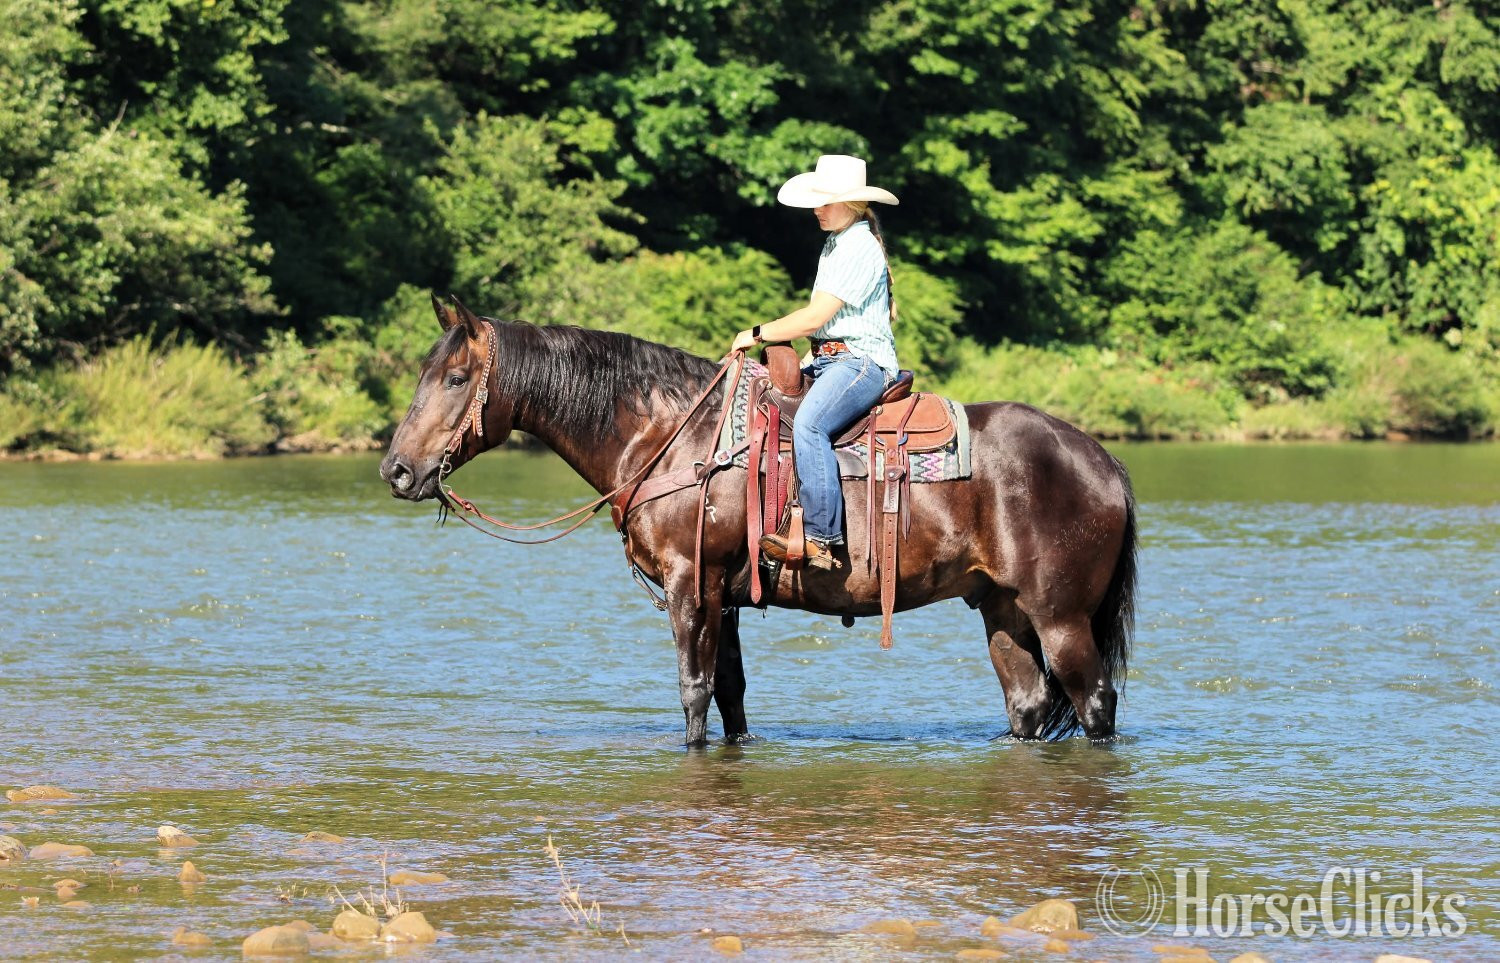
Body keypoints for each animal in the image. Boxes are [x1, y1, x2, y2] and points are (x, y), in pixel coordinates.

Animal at [379, 296, 1137, 746]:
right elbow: (731, 697)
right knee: (1028, 703)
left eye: (455, 378)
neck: (675, 435)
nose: (396, 470)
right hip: (1003, 610)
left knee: (1095, 701)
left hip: (1061, 616)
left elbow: (693, 695)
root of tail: (1102, 459)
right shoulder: (726, 596)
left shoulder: (690, 585)